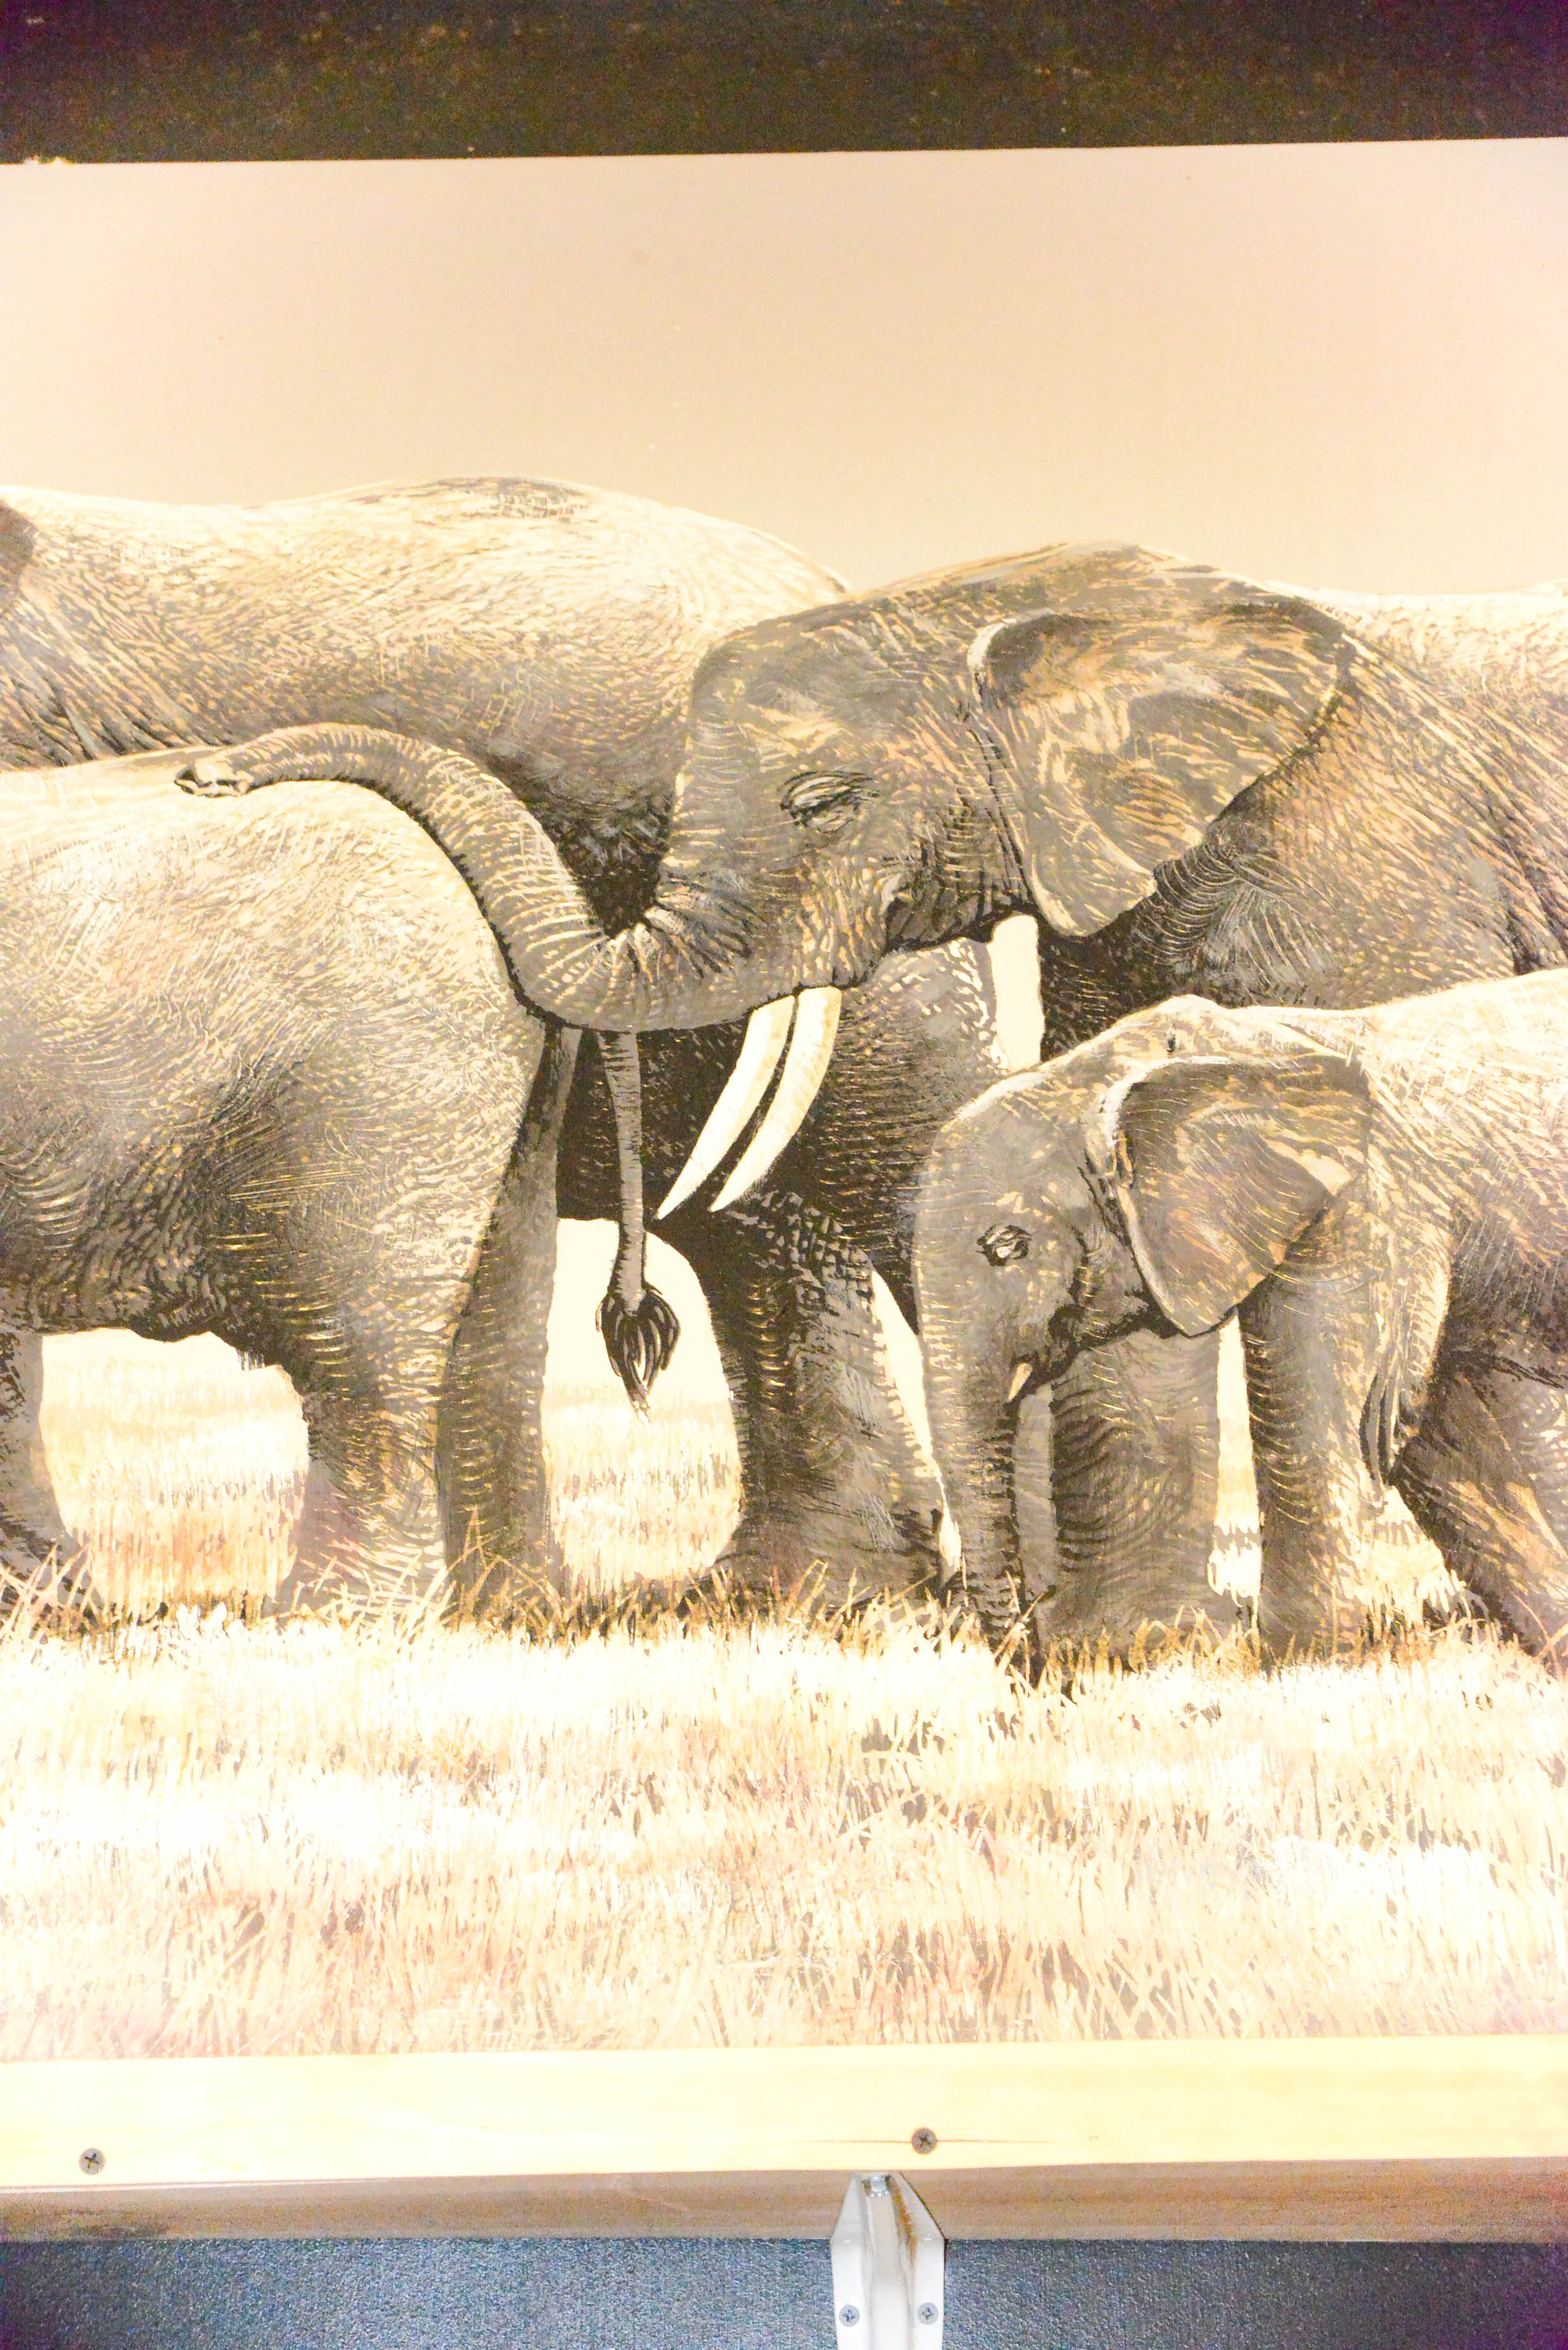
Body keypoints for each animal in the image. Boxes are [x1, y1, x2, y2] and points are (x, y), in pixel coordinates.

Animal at [0, 746, 575, 1612]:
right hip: (500, 1120)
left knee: (359, 1352)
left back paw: (334, 1618)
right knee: (498, 1337)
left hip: (374, 1094)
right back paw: (508, 1610)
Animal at [911, 972, 1568, 1666]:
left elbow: (1332, 1417)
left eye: (1007, 1246)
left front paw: (1299, 1665)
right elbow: (1445, 1443)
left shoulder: (1360, 1204)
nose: (1032, 1651)